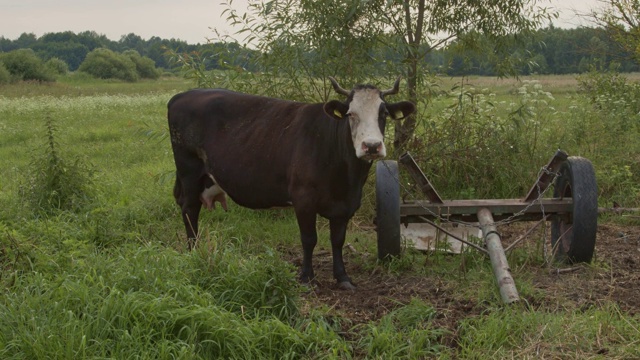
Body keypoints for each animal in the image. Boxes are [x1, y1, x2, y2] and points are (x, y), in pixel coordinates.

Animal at [168, 77, 416, 288]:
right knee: (190, 209)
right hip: (189, 170)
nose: (372, 146)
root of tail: (183, 95)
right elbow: (309, 239)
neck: (345, 177)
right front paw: (306, 277)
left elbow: (337, 240)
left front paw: (343, 277)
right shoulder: (303, 199)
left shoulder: (345, 205)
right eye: (350, 113)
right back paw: (193, 251)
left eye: (383, 113)